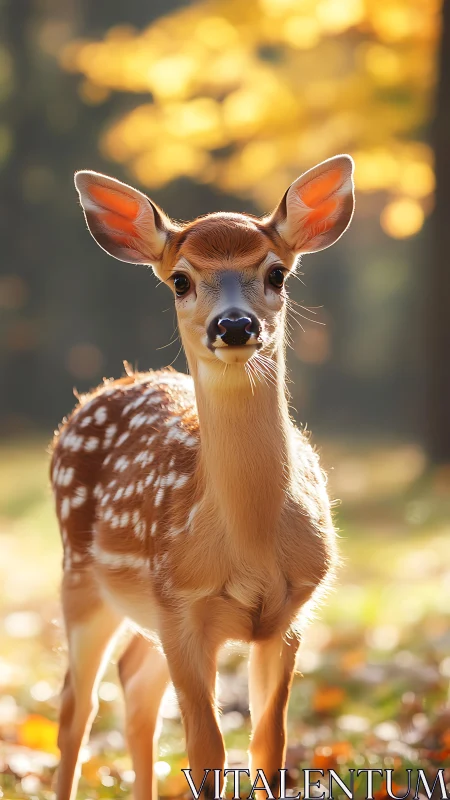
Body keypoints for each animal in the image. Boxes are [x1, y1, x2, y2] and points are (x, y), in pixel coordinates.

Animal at [50, 154, 355, 800]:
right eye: (181, 280)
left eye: (277, 273)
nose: (234, 326)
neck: (250, 544)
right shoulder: (182, 606)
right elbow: (206, 751)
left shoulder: (290, 615)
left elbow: (268, 746)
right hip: (81, 578)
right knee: (75, 707)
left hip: (143, 614)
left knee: (134, 694)